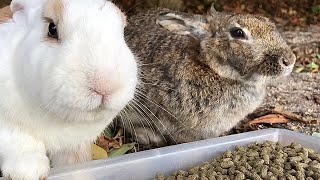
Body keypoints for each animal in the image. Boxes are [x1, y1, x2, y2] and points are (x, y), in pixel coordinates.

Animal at [0, 0, 136, 179]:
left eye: (124, 33)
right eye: (52, 29)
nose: (106, 85)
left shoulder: (75, 145)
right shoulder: (7, 123)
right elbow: (20, 141)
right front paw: (28, 172)